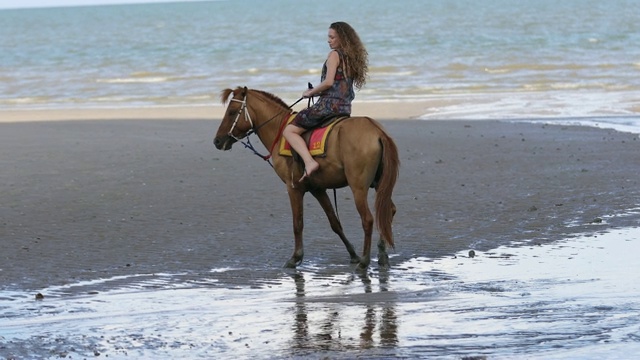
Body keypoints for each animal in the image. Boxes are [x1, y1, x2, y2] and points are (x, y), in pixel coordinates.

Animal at [212, 86, 398, 270]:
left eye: (232, 111)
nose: (217, 141)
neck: (279, 130)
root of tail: (377, 131)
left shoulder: (294, 188)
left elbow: (298, 224)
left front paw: (295, 257)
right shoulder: (318, 189)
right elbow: (334, 223)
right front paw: (352, 254)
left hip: (358, 188)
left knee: (368, 219)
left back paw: (365, 260)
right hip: (379, 184)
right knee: (387, 211)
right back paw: (381, 254)